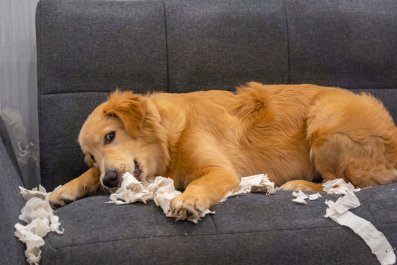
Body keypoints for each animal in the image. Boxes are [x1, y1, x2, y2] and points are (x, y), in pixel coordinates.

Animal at [48, 83, 396, 219]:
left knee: (341, 182)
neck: (171, 137)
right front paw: (63, 190)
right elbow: (86, 175)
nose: (109, 181)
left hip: (324, 117)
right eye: (92, 156)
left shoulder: (220, 171)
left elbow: (201, 183)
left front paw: (188, 200)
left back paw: (298, 184)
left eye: (110, 136)